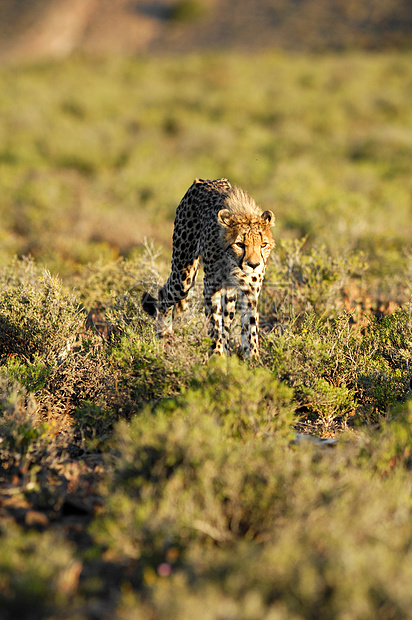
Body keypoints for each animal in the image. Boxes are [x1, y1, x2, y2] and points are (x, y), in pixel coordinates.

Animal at [142, 178, 274, 358]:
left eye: (263, 245)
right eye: (240, 244)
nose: (254, 265)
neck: (232, 262)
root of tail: (203, 180)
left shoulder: (250, 290)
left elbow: (249, 326)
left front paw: (252, 358)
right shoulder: (212, 286)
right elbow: (214, 322)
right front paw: (217, 355)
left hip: (228, 294)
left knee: (227, 319)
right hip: (184, 275)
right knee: (164, 293)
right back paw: (164, 335)